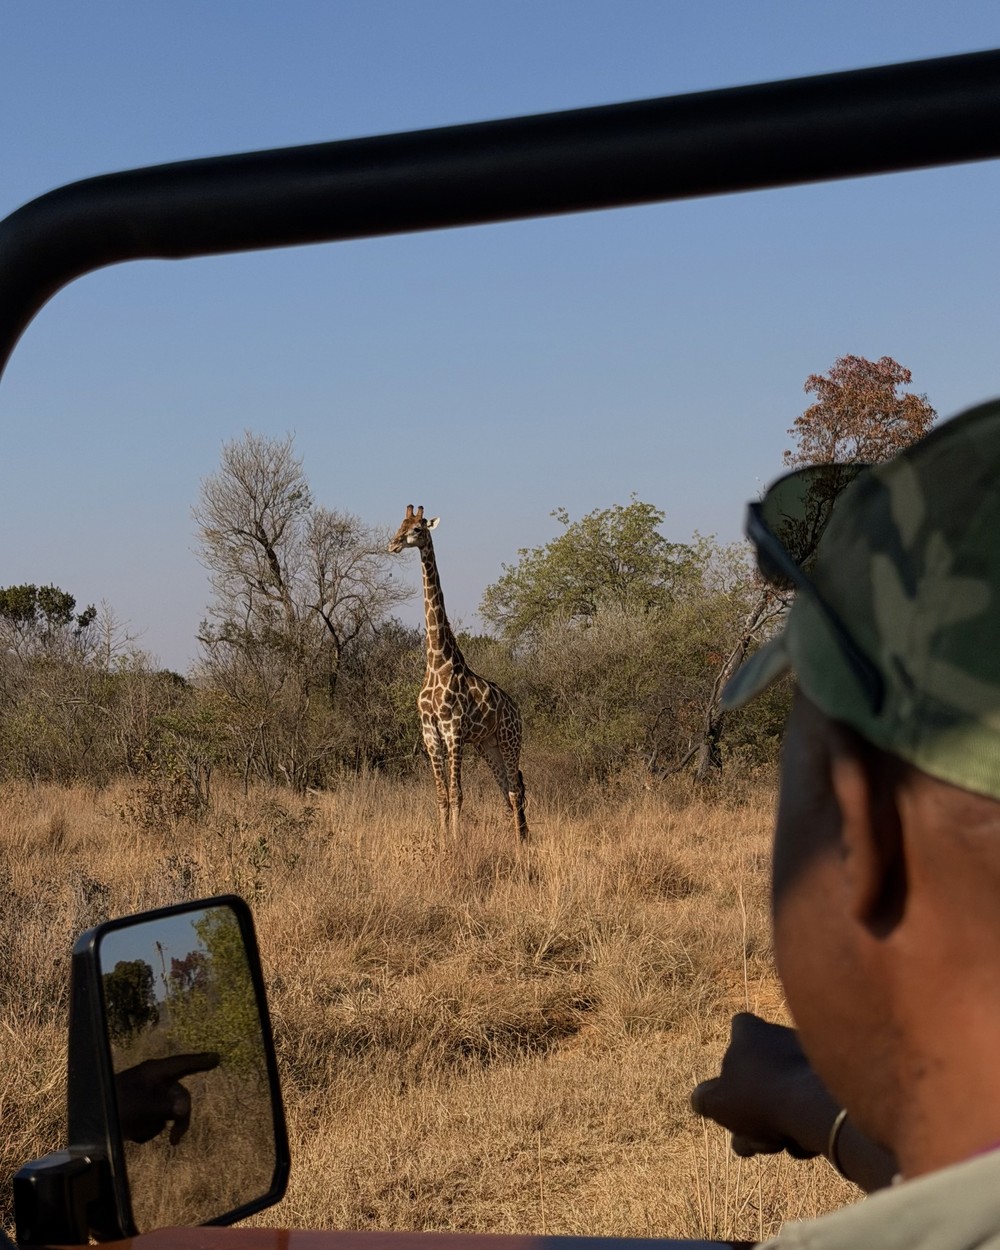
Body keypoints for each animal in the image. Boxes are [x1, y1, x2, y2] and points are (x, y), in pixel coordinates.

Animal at [389, 505, 528, 843]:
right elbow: (441, 794)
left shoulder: (453, 730)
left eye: (417, 529)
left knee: (516, 790)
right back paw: (514, 839)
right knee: (506, 791)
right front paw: (442, 840)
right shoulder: (430, 731)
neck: (437, 661)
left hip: (510, 740)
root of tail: (516, 709)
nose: (393, 544)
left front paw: (455, 841)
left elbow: (457, 793)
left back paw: (521, 844)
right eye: (400, 524)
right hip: (488, 744)